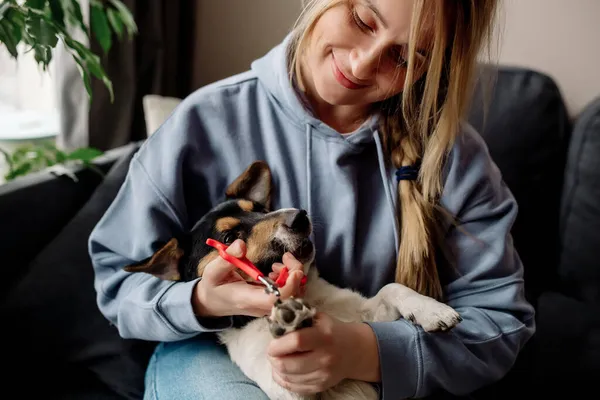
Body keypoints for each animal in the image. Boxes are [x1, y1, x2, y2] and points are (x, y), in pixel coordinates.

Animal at [124, 161, 462, 398]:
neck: (305, 297)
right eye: (229, 238)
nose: (299, 216)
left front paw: (432, 310)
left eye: (261, 209)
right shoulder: (286, 388)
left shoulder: (368, 315)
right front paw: (289, 323)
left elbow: (393, 288)